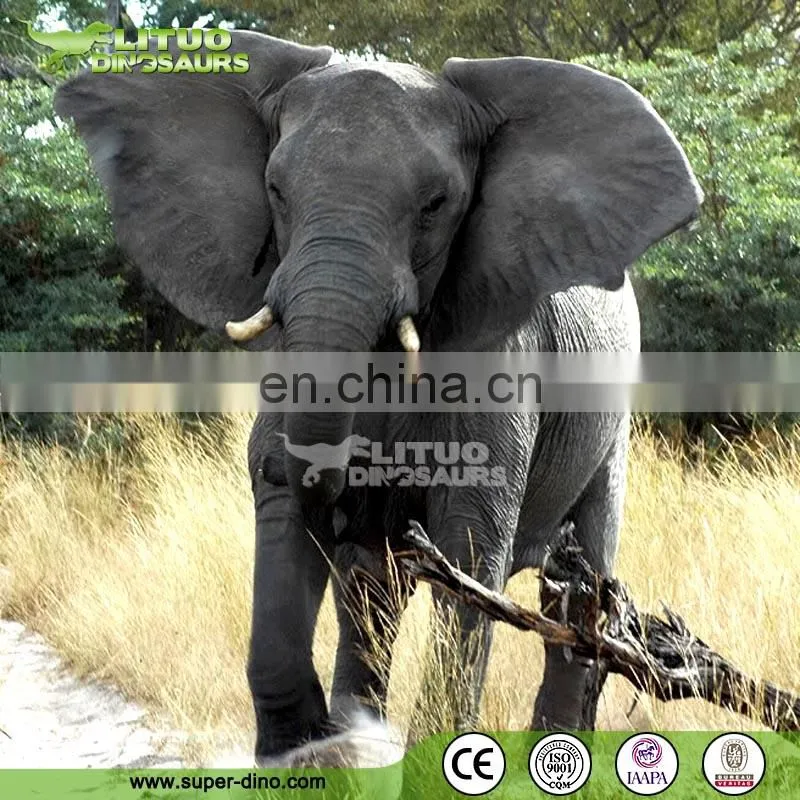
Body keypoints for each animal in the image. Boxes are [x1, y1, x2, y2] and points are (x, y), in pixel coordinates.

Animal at [55, 31, 702, 764]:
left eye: (436, 204)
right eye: (275, 190)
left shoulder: (500, 360)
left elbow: (471, 544)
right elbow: (294, 512)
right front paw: (310, 745)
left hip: (611, 424)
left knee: (579, 589)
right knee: (375, 599)